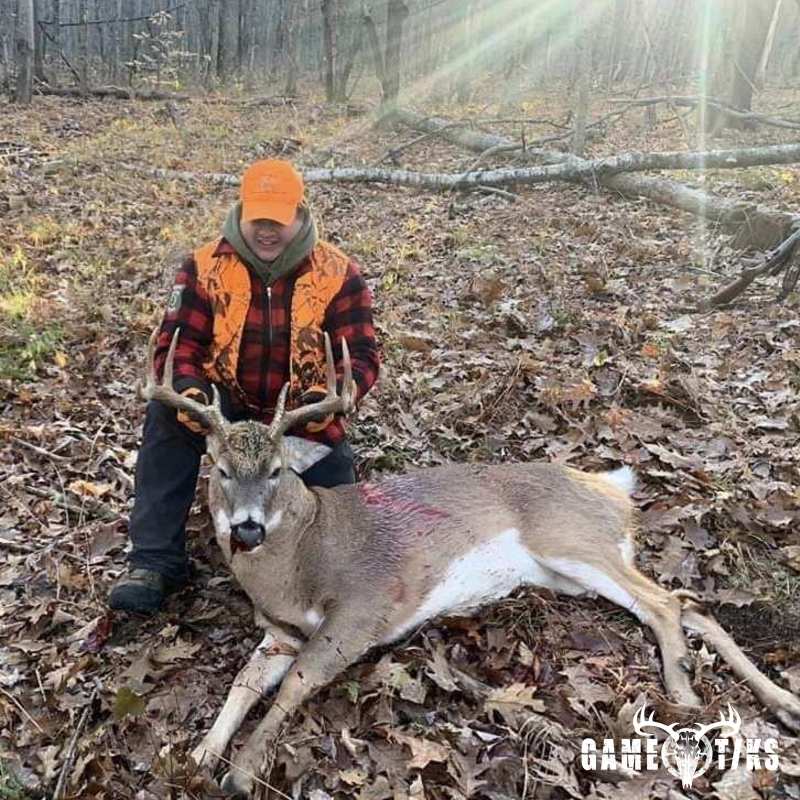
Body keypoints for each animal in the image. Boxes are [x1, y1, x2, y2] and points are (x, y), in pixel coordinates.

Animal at [139, 327, 800, 799]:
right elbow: (244, 684)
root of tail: (611, 488)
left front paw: (240, 773)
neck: (301, 557)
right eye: (220, 470)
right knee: (687, 606)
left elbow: (298, 683)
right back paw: (780, 702)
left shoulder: (364, 605)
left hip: (569, 540)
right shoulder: (278, 630)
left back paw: (683, 694)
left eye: (277, 470)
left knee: (667, 603)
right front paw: (195, 757)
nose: (247, 528)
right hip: (570, 571)